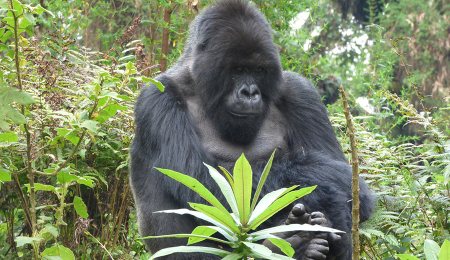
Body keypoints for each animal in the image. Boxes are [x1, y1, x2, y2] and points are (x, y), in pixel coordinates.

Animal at [131, 1, 376, 258]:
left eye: (259, 70)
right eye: (237, 70)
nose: (249, 93)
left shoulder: (300, 91)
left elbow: (338, 170)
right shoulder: (158, 97)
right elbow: (207, 183)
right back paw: (292, 242)